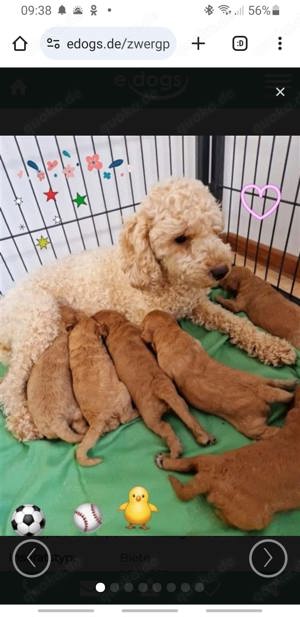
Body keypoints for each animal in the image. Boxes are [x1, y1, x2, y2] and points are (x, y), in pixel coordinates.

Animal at [26, 304, 88, 442]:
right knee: (79, 425)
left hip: (47, 431)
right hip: (75, 410)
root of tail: (56, 422)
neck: (59, 334)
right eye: (74, 312)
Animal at [68, 316, 135, 464]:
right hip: (123, 390)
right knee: (126, 418)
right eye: (99, 324)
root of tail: (96, 420)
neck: (84, 342)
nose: (105, 327)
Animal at [94, 308, 216, 458]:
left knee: (166, 428)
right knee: (188, 417)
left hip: (151, 418)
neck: (119, 325)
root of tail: (162, 390)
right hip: (180, 402)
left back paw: (175, 451)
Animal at [141, 310, 296, 440]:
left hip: (252, 426)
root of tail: (263, 393)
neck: (170, 333)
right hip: (260, 380)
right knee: (274, 382)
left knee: (270, 432)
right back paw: (291, 383)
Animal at [156, 388, 300, 532]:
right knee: (229, 520)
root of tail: (208, 479)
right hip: (256, 520)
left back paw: (164, 461)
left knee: (185, 463)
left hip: (207, 459)